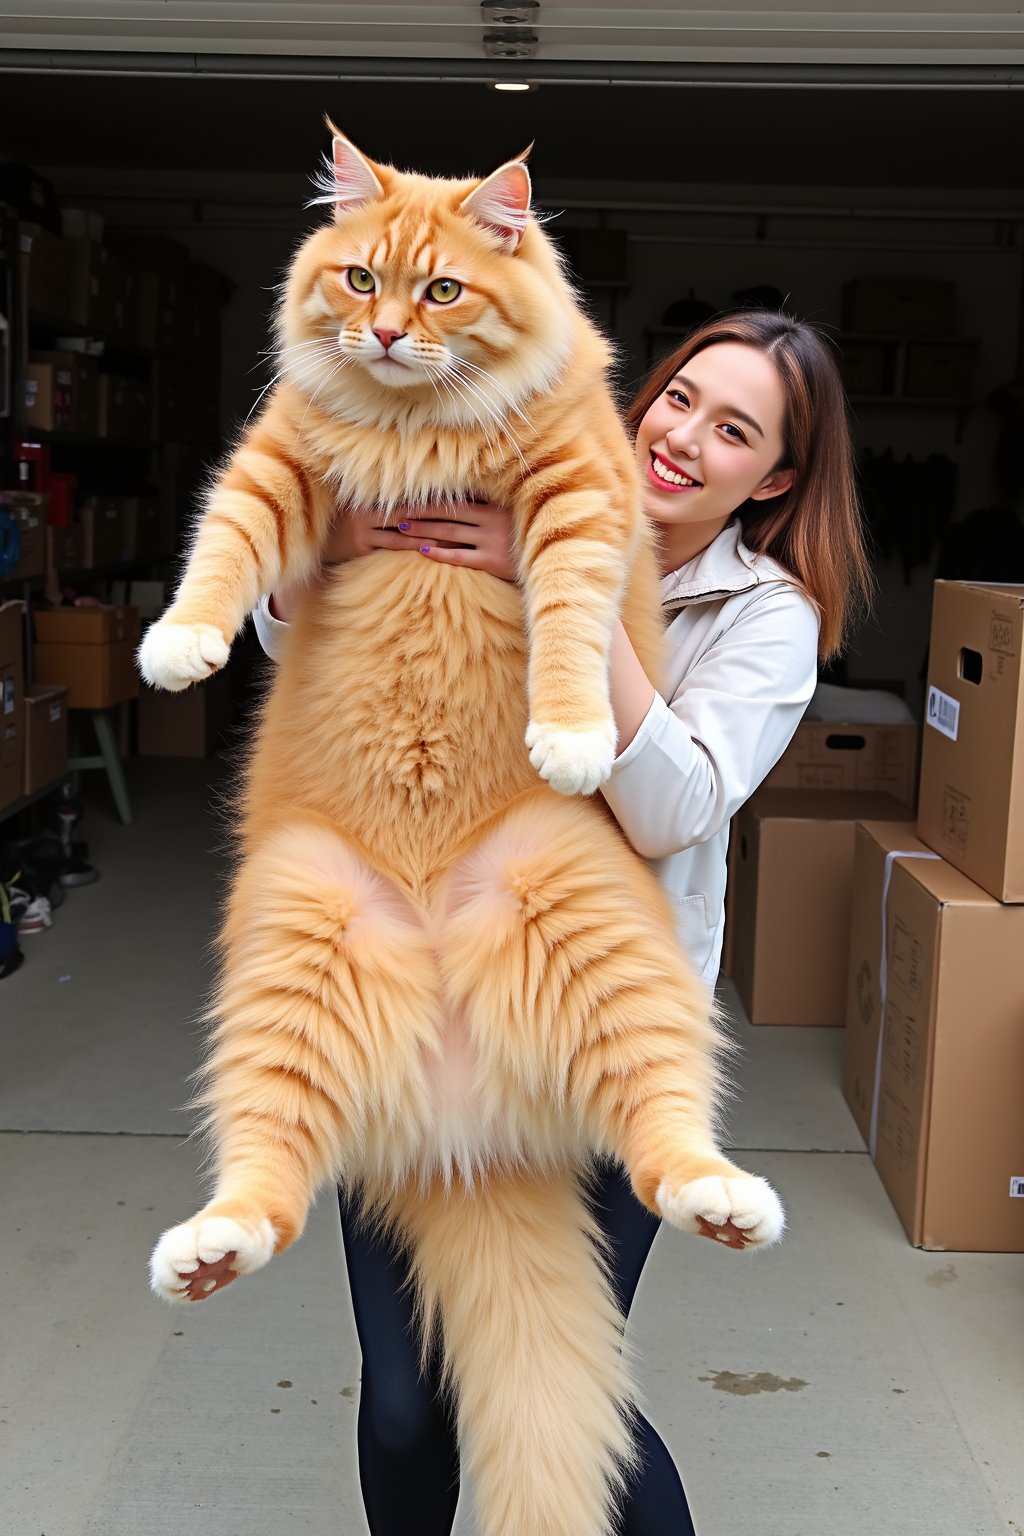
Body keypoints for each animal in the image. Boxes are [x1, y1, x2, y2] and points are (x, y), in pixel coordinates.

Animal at [142, 125, 786, 1536]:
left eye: (441, 293)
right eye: (360, 277)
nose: (385, 333)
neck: (407, 427)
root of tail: (465, 1127)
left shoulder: (575, 502)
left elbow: (568, 629)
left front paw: (573, 737)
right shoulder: (281, 466)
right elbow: (221, 557)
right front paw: (175, 651)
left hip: (584, 918)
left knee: (668, 1134)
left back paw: (727, 1202)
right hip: (299, 938)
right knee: (263, 1176)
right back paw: (205, 1253)